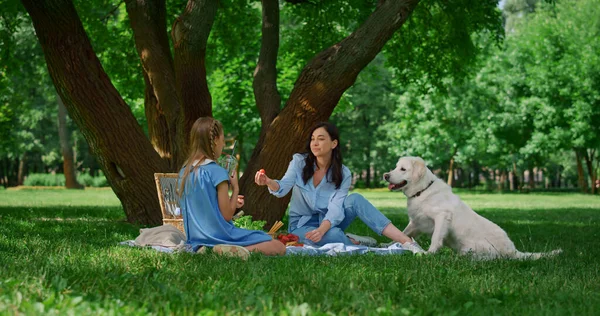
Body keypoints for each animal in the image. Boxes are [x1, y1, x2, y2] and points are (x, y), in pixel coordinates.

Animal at [384, 156, 564, 260]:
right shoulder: (416, 223)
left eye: (403, 169)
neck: (422, 190)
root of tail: (513, 250)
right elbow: (403, 232)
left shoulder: (442, 216)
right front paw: (389, 245)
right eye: (395, 167)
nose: (386, 175)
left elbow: (436, 237)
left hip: (472, 248)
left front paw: (429, 254)